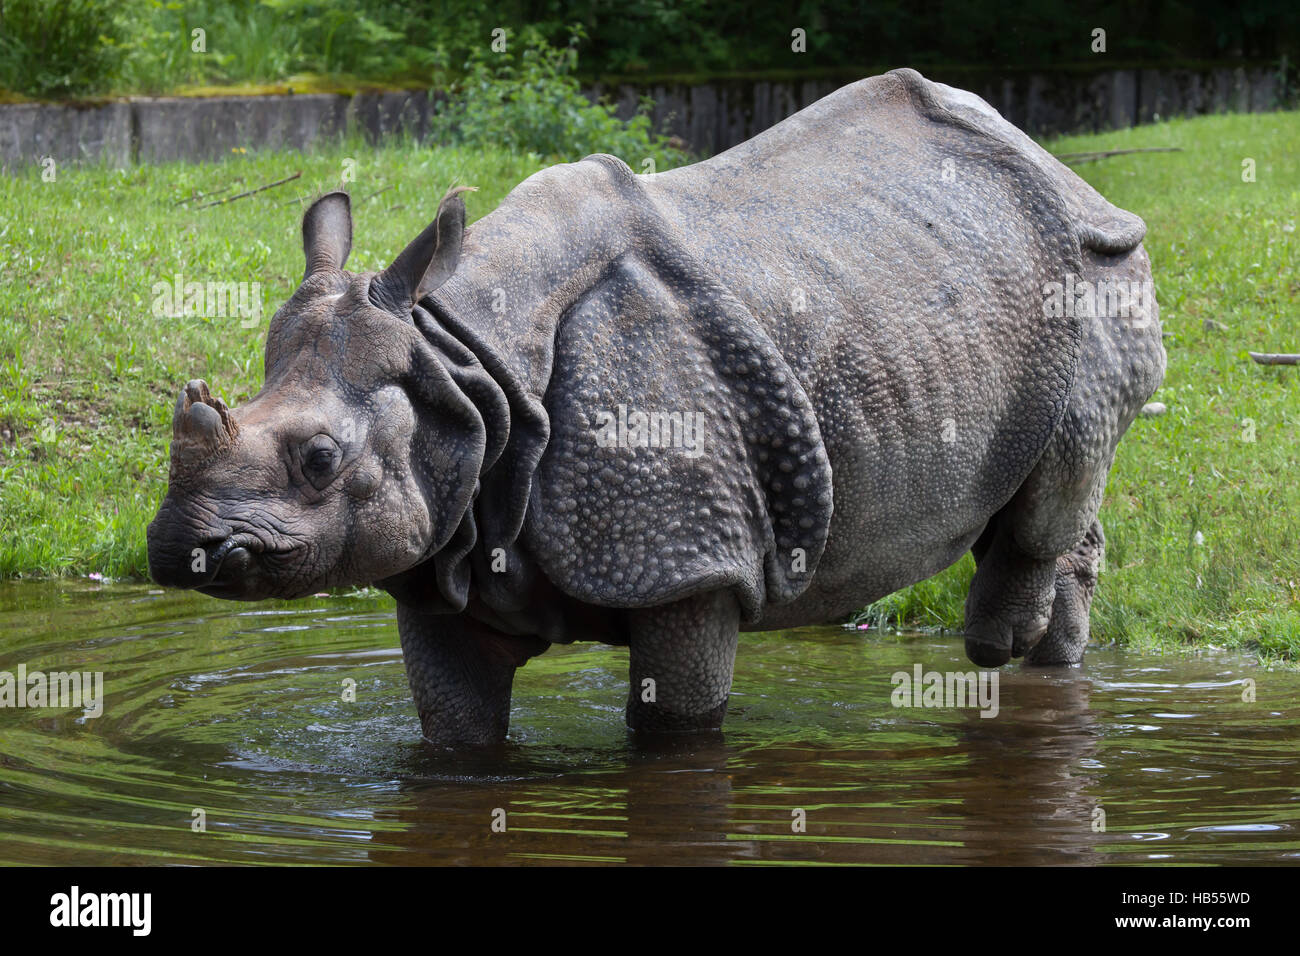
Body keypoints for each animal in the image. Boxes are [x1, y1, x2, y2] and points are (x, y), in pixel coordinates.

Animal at [147, 68, 1165, 746]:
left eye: (320, 461)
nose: (178, 549)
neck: (464, 366)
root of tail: (1063, 170)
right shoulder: (441, 550)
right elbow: (456, 732)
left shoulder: (690, 560)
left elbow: (676, 727)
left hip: (1098, 271)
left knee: (1055, 486)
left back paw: (1002, 641)